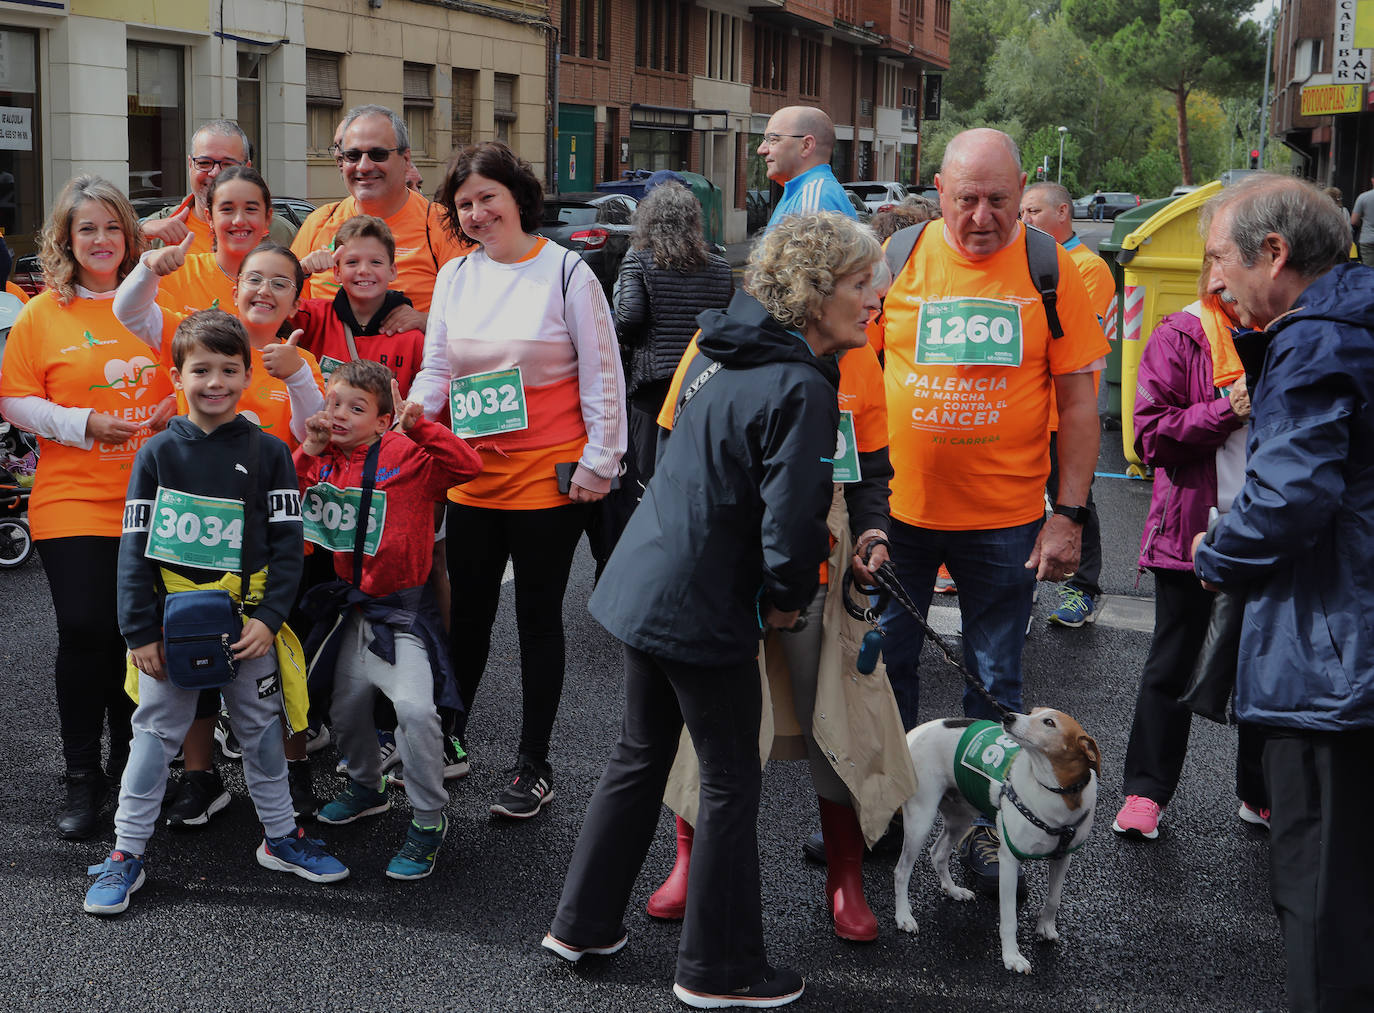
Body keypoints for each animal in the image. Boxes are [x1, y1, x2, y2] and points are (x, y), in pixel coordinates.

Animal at [890, 709, 1104, 967]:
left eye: (1049, 722)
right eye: (1032, 712)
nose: (1008, 716)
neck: (1058, 792)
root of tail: (911, 733)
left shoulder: (1063, 857)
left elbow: (1054, 899)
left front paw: (1045, 927)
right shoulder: (1009, 860)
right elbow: (1010, 918)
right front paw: (1012, 957)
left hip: (961, 815)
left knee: (938, 852)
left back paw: (953, 890)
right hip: (921, 817)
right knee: (902, 871)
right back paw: (903, 916)